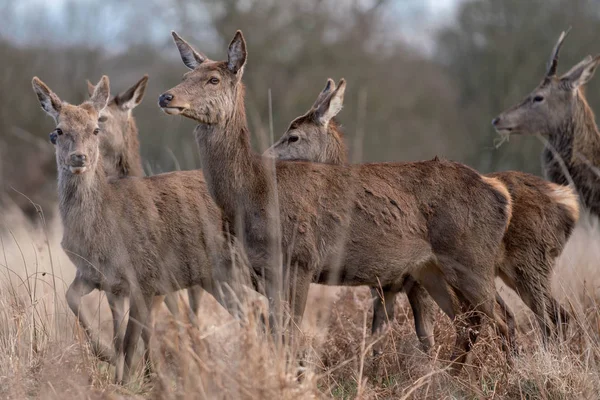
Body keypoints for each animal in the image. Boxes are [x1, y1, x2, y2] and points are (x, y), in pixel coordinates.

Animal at [29, 75, 246, 384]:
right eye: (59, 129)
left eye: (96, 127)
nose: (79, 158)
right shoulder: (101, 278)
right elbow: (84, 309)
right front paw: (106, 356)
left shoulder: (145, 277)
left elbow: (132, 339)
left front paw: (127, 381)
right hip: (216, 277)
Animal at [158, 28, 516, 366]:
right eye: (185, 76)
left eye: (214, 79)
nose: (165, 96)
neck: (253, 194)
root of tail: (501, 197)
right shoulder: (266, 269)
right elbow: (275, 332)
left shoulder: (300, 259)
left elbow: (290, 333)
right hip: (433, 270)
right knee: (469, 321)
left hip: (470, 259)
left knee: (504, 318)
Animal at [266, 78, 576, 354]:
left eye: (293, 136)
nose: (265, 157)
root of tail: (568, 201)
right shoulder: (384, 284)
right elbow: (383, 336)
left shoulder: (410, 281)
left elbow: (423, 335)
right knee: (549, 315)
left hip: (519, 263)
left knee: (536, 316)